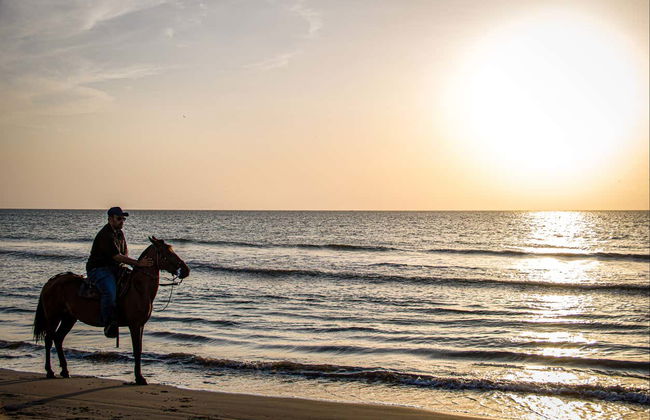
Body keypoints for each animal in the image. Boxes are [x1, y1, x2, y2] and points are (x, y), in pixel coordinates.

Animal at [33, 236, 190, 385]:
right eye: (166, 252)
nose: (186, 270)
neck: (138, 289)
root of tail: (50, 282)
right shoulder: (134, 324)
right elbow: (136, 349)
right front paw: (139, 378)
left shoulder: (140, 325)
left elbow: (139, 349)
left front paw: (139, 376)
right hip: (54, 317)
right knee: (49, 339)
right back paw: (50, 371)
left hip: (69, 318)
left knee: (58, 339)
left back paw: (65, 371)